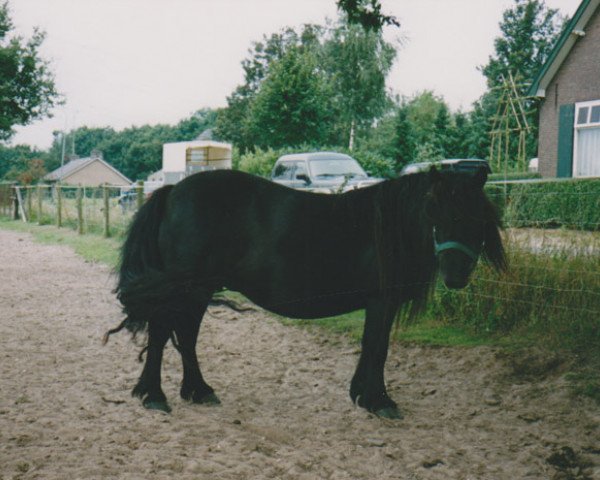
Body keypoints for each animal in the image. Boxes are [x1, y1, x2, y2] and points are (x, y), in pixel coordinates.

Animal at [110, 167, 504, 418]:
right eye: (434, 211)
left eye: (476, 216)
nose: (456, 274)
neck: (389, 226)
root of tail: (172, 191)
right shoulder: (382, 301)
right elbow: (379, 348)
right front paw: (380, 401)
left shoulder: (376, 304)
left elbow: (370, 345)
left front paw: (360, 394)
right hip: (183, 289)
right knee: (163, 333)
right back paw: (155, 396)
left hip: (198, 289)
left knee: (186, 336)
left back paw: (199, 390)